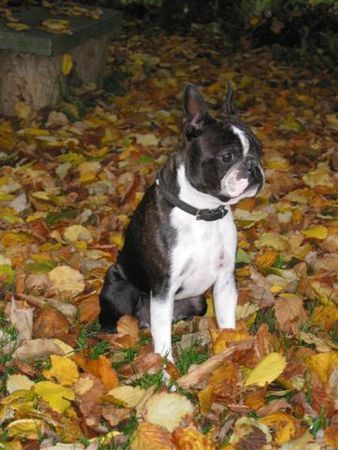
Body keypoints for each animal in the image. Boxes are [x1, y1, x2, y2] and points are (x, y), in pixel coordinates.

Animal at [99, 83, 266, 362]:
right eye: (227, 156)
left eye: (260, 151)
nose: (253, 165)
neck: (202, 210)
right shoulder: (163, 288)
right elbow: (163, 341)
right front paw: (166, 370)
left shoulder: (225, 280)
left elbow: (226, 321)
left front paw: (229, 351)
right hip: (120, 286)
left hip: (198, 301)